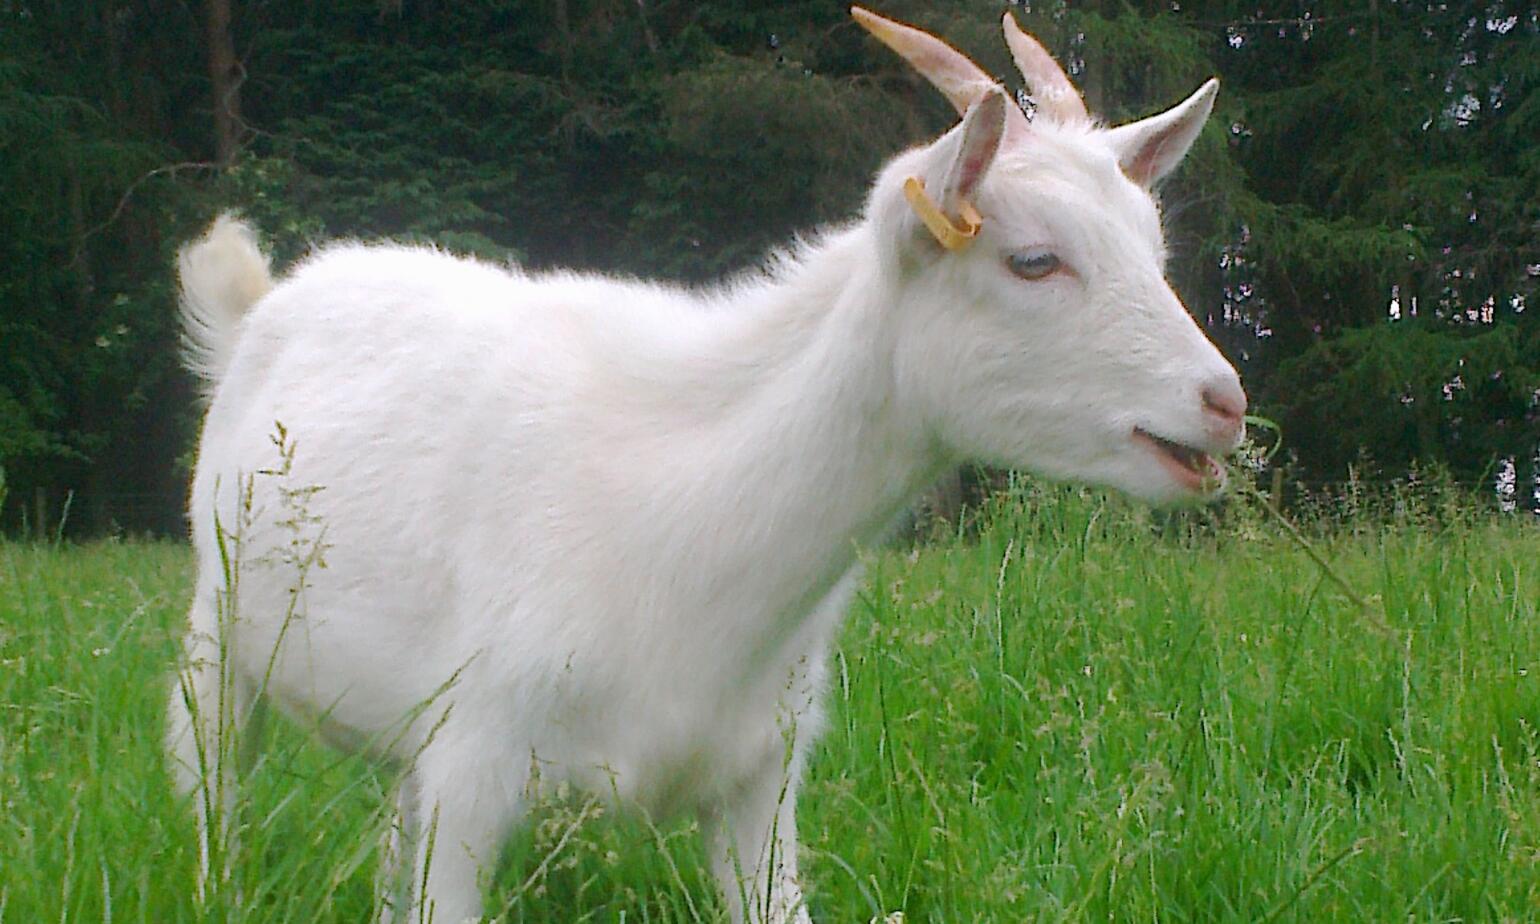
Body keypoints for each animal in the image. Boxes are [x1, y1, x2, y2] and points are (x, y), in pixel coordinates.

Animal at [167, 7, 1245, 922]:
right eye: (1032, 260)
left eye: (1153, 248)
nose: (1223, 402)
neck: (685, 516)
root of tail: (264, 304)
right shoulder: (476, 766)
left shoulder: (759, 779)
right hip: (217, 630)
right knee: (214, 795)